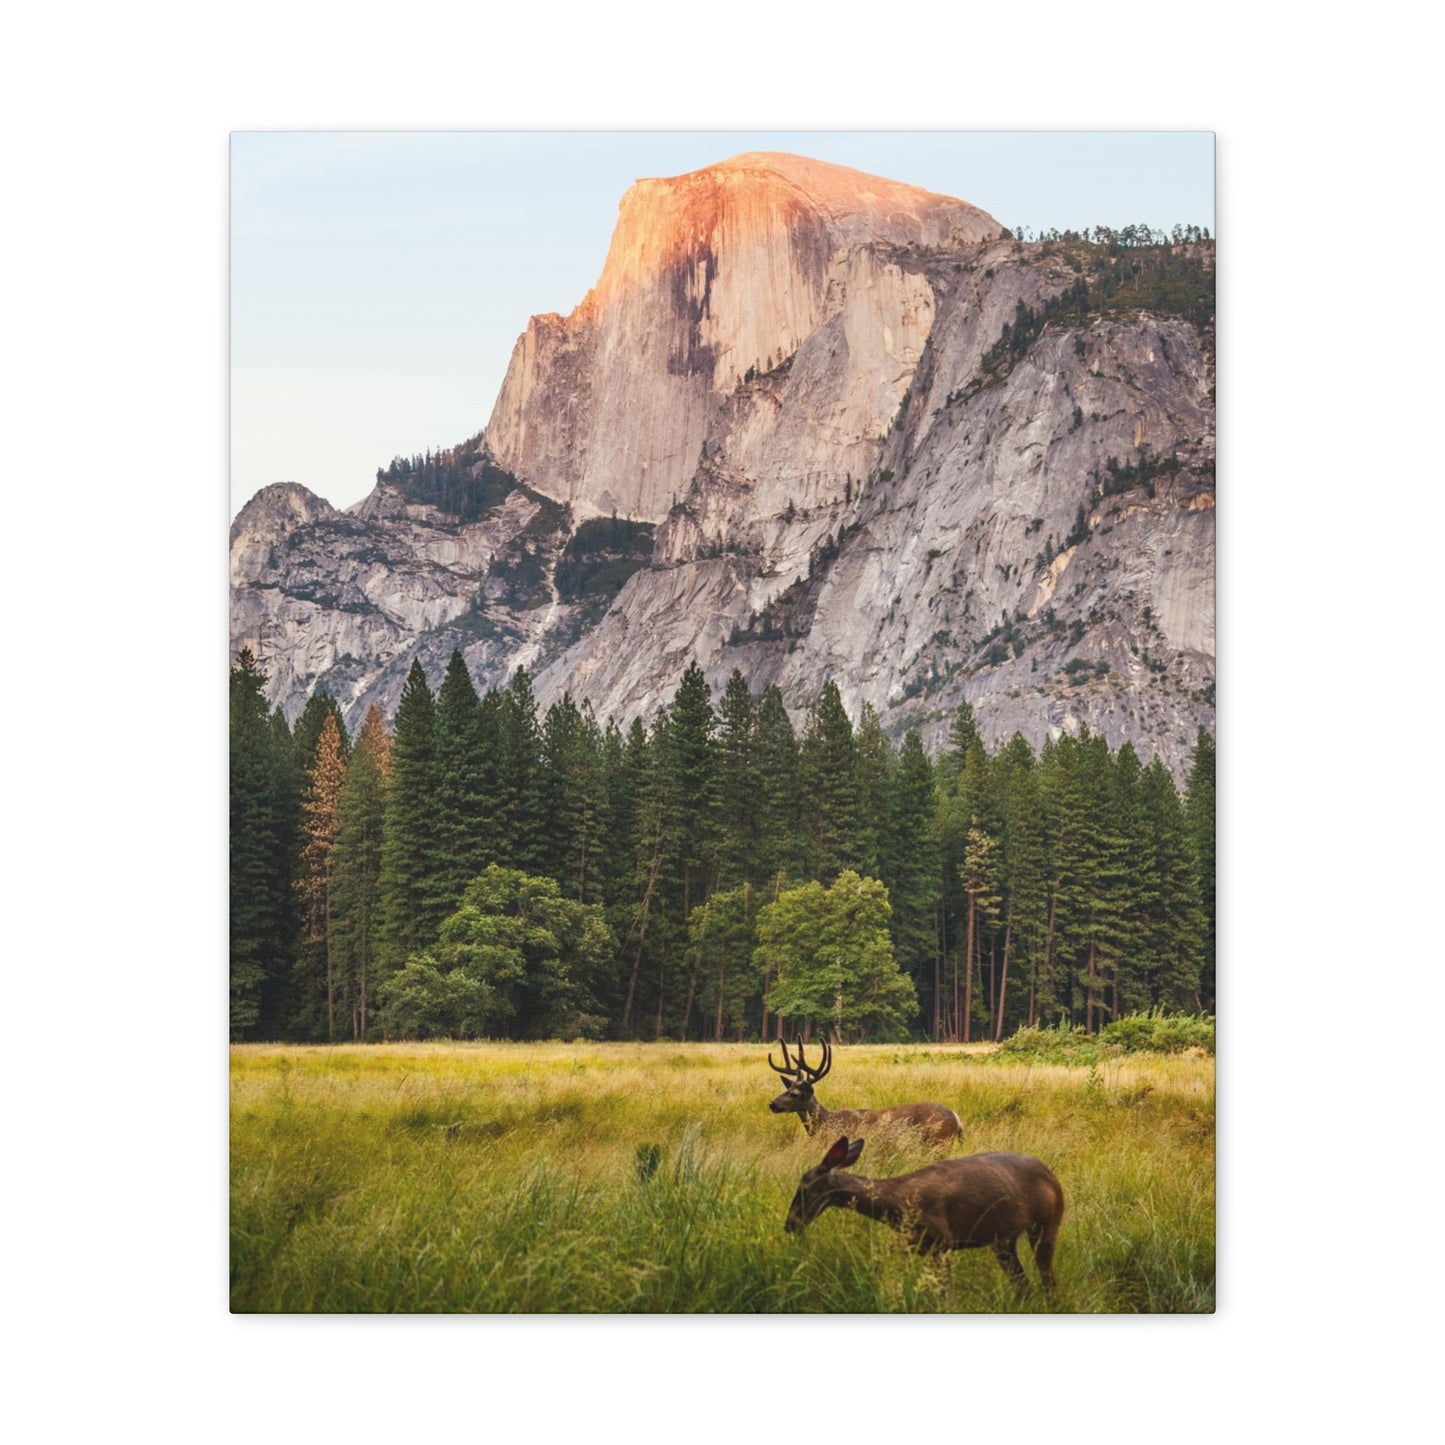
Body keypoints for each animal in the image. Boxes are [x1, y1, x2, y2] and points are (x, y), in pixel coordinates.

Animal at [768, 1034, 959, 1144]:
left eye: (795, 1094)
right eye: (786, 1089)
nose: (772, 1104)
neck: (826, 1123)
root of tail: (956, 1118)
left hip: (939, 1141)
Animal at [786, 1138, 1069, 1300]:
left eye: (804, 1187)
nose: (790, 1224)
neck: (896, 1204)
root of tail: (1053, 1176)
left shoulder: (942, 1241)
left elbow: (946, 1296)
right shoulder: (914, 1244)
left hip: (1047, 1223)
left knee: (1049, 1281)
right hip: (1003, 1241)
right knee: (1024, 1285)